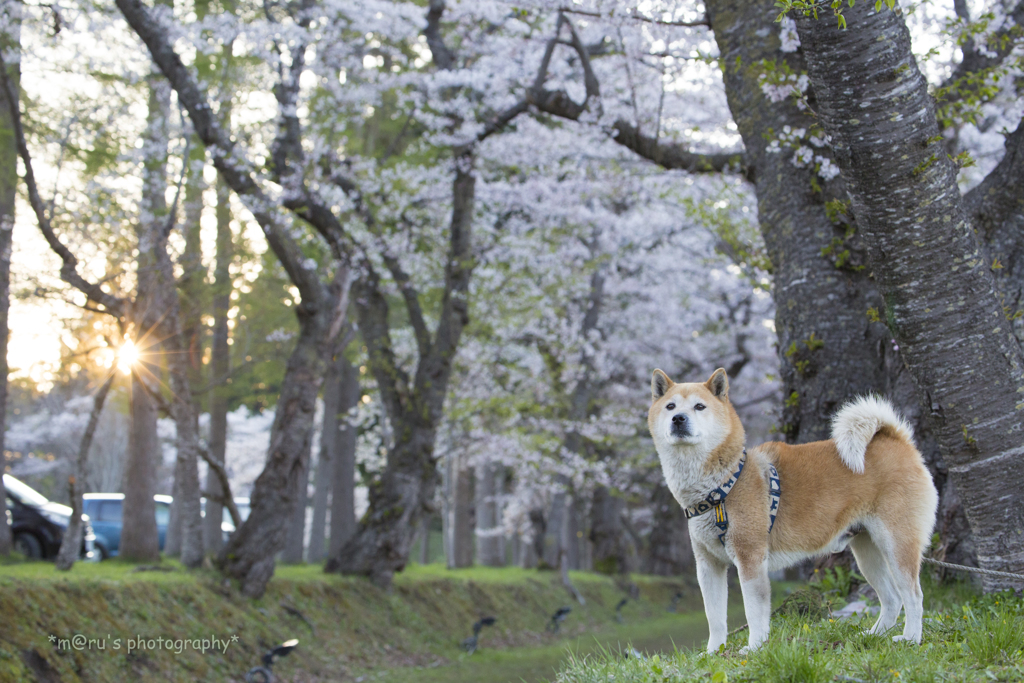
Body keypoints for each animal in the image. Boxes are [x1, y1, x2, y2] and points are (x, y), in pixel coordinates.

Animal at [651, 368, 937, 651]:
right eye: (670, 406)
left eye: (699, 406)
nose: (678, 418)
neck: (721, 485)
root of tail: (896, 440)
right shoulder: (708, 565)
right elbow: (714, 617)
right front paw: (713, 653)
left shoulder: (750, 559)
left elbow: (753, 612)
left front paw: (754, 648)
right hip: (867, 552)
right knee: (892, 599)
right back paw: (873, 636)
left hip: (897, 544)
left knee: (913, 595)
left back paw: (911, 638)